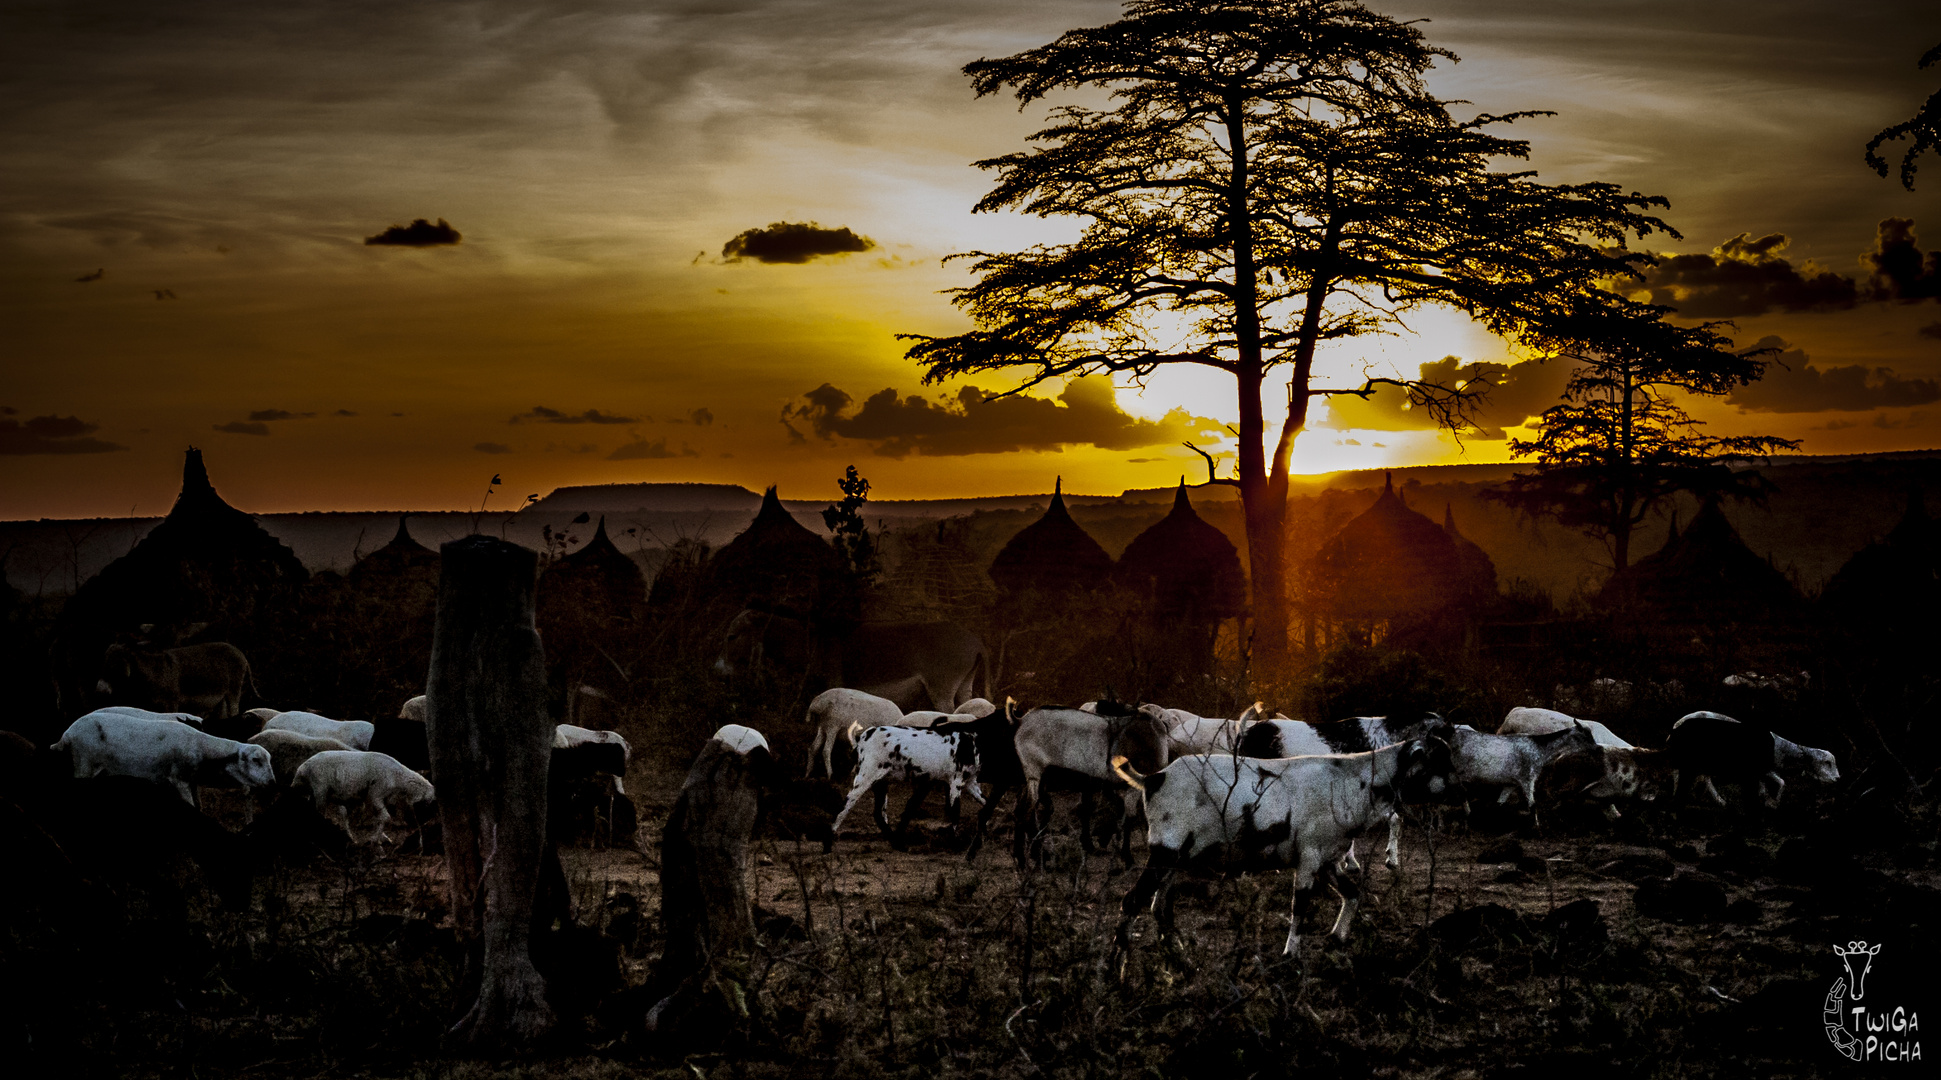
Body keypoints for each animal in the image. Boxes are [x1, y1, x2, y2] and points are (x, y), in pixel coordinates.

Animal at [291, 749, 436, 843]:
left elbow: (378, 817)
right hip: (320, 789)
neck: (399, 778)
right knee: (320, 811)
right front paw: (376, 839)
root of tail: (301, 768)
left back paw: (350, 837)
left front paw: (382, 837)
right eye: (429, 802)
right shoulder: (375, 795)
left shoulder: (375, 798)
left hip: (321, 793)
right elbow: (385, 817)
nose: (423, 824)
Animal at [1118, 738, 1459, 959]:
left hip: (1178, 858)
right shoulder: (1308, 857)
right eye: (1438, 761)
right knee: (1132, 900)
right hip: (1165, 850)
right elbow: (1300, 906)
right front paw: (1290, 955)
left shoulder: (1328, 858)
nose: (1463, 792)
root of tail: (1153, 778)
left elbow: (1353, 893)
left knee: (1159, 905)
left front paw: (1336, 939)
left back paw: (1177, 956)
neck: (1353, 781)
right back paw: (1117, 972)